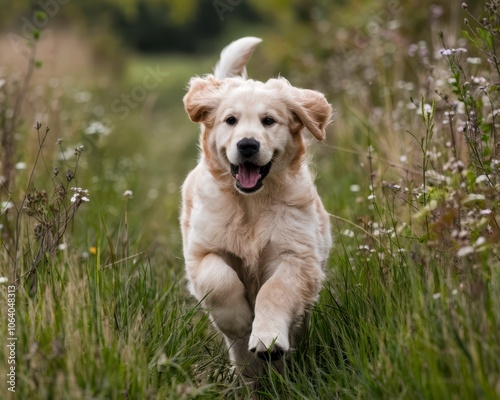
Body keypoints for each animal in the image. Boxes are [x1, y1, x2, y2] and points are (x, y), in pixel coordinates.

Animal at [181, 36, 332, 376]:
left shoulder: (297, 256)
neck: (250, 206)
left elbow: (274, 291)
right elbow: (220, 280)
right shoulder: (200, 252)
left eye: (269, 121)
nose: (247, 145)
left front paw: (268, 339)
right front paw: (240, 324)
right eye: (230, 120)